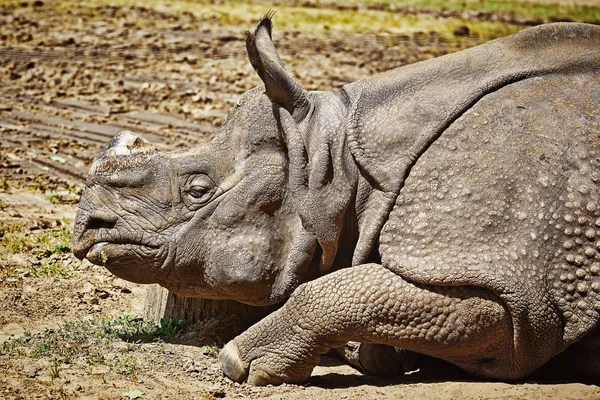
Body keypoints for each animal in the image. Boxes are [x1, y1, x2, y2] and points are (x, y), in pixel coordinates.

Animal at [74, 14, 600, 384]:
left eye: (198, 190)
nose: (87, 229)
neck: (340, 164)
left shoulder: (514, 288)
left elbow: (339, 291)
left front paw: (244, 362)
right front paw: (373, 355)